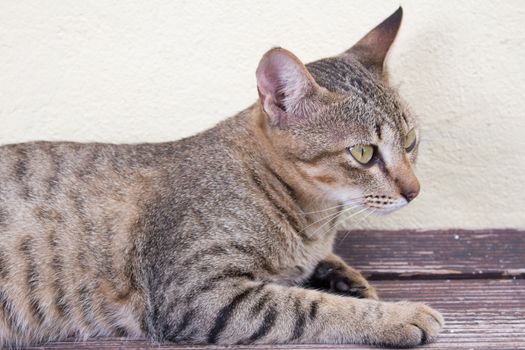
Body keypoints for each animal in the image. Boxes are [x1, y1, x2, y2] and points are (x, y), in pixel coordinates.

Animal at [0, 6, 442, 348]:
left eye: (409, 141)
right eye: (364, 153)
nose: (415, 190)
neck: (312, 218)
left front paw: (345, 276)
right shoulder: (198, 294)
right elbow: (307, 306)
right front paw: (394, 315)